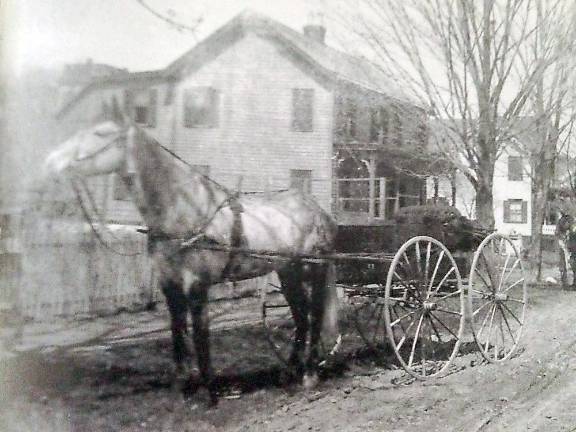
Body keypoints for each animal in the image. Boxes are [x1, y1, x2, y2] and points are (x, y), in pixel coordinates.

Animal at [46, 104, 342, 404]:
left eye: (100, 133)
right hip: (287, 271)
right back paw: (290, 372)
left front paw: (208, 391)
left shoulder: (197, 285)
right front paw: (182, 386)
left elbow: (200, 334)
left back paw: (309, 374)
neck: (185, 210)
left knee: (314, 315)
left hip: (313, 268)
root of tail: (318, 210)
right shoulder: (170, 285)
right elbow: (178, 331)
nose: (52, 162)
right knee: (301, 316)